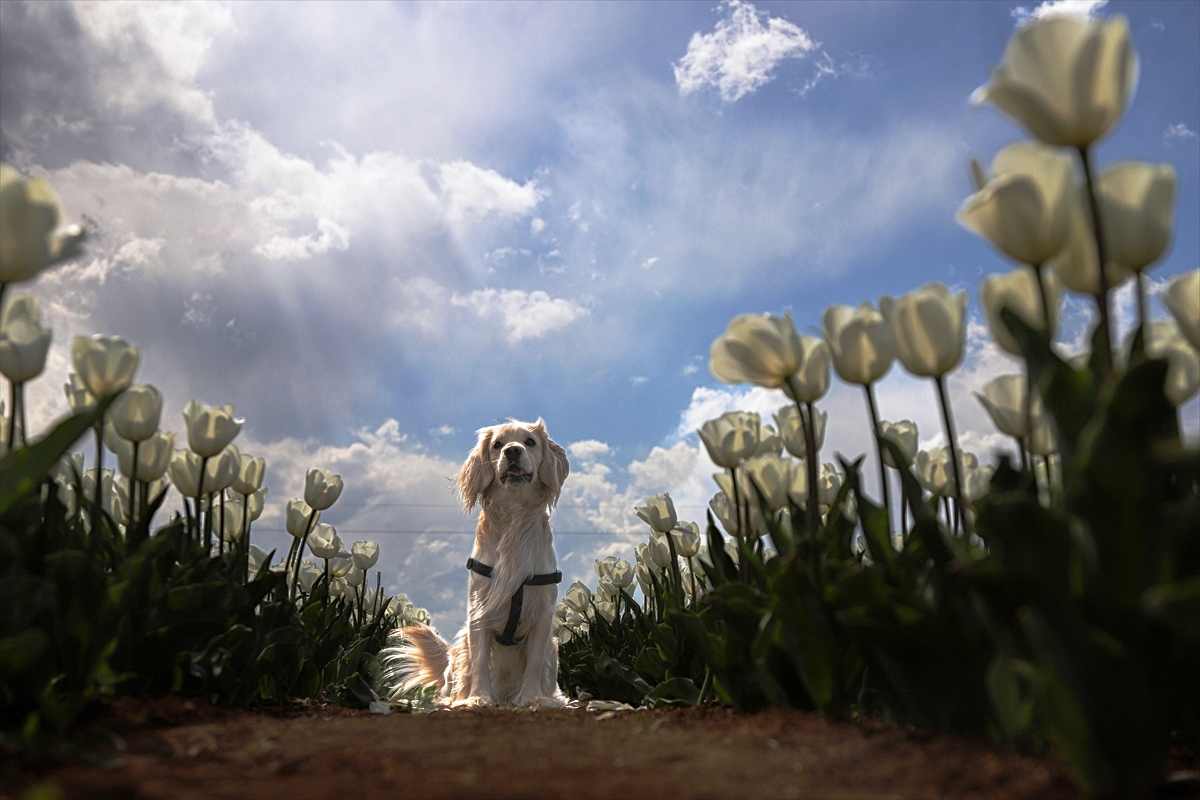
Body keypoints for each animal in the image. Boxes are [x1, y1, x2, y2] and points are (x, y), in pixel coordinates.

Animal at [384, 419, 571, 705]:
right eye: (497, 444)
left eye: (530, 442)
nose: (511, 451)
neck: (514, 518)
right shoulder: (479, 609)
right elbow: (480, 659)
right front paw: (478, 697)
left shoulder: (542, 614)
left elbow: (535, 662)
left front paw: (531, 698)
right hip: (459, 650)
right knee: (454, 684)